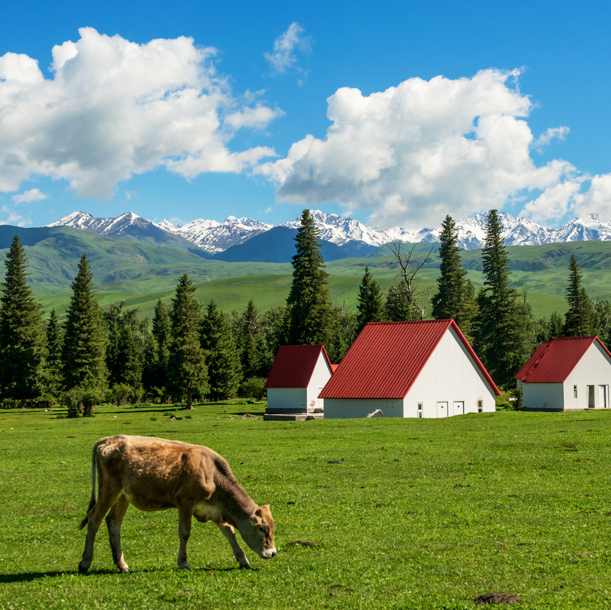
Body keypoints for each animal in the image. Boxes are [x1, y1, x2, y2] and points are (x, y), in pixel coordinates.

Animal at [78, 432, 278, 568]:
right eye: (262, 529)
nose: (273, 552)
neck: (213, 474)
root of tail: (109, 440)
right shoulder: (185, 503)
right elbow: (184, 532)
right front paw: (183, 562)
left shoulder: (214, 509)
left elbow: (229, 531)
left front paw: (242, 559)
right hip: (109, 490)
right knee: (94, 518)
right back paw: (85, 562)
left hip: (122, 496)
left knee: (113, 522)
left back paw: (121, 564)